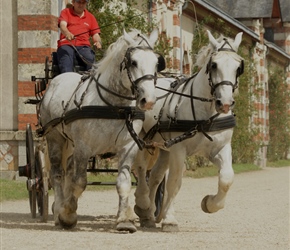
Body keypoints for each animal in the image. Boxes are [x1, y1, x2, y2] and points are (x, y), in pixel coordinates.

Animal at [37, 28, 161, 231]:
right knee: (57, 173)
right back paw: (58, 211)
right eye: (133, 62)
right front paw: (68, 214)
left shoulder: (128, 146)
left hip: (70, 144)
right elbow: (80, 182)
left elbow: (123, 183)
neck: (115, 106)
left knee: (67, 170)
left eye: (156, 63)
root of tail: (56, 80)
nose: (148, 100)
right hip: (55, 138)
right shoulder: (84, 148)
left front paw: (124, 220)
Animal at [134, 31, 245, 232]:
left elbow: (227, 178)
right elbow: (174, 182)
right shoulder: (179, 150)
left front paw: (209, 204)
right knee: (141, 170)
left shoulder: (220, 148)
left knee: (154, 176)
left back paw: (152, 214)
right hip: (142, 141)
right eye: (214, 65)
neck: (206, 114)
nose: (225, 103)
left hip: (164, 148)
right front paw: (170, 219)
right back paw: (143, 206)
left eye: (238, 67)